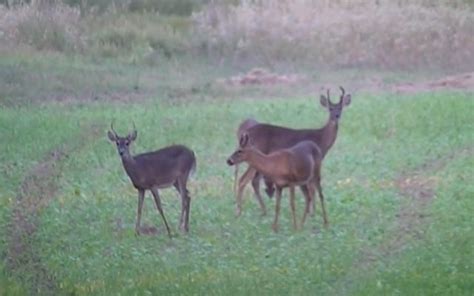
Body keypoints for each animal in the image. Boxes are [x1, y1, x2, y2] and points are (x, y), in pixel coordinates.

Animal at [231, 86, 350, 225]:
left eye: (340, 107)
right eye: (330, 108)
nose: (336, 116)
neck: (321, 139)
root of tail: (244, 132)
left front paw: (311, 212)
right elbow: (312, 188)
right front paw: (313, 213)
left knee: (253, 181)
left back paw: (262, 211)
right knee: (243, 180)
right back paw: (238, 212)